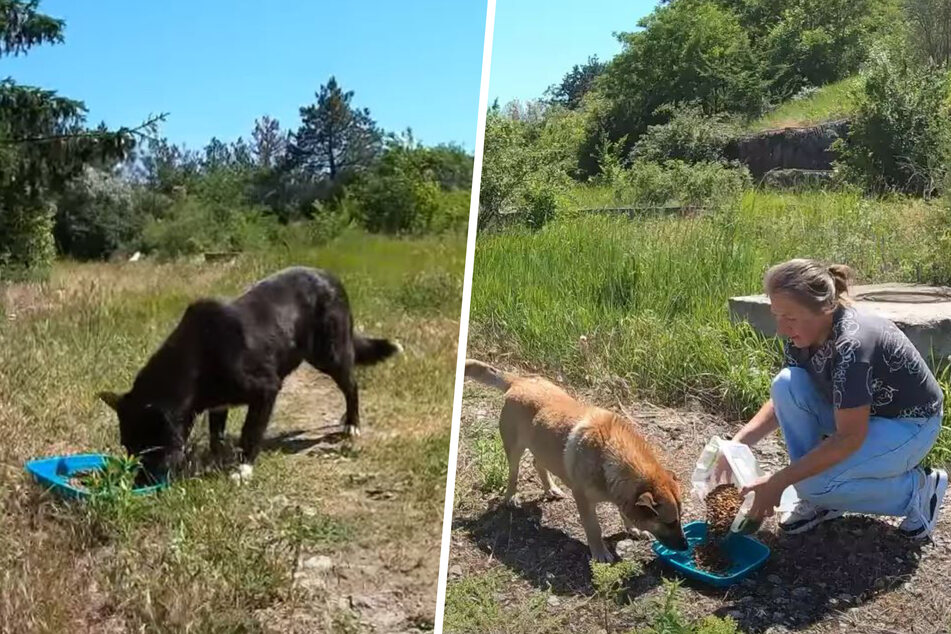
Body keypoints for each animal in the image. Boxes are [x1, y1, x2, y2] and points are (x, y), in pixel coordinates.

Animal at [98, 266, 404, 478]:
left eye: (149, 448)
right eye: (127, 446)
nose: (138, 484)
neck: (196, 360)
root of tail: (332, 276)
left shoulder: (266, 390)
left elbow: (251, 431)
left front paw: (242, 470)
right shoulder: (218, 404)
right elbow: (216, 435)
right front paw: (216, 459)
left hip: (330, 354)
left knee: (351, 385)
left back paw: (352, 424)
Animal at [466, 358, 684, 560]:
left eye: (679, 519)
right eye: (670, 522)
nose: (686, 547)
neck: (611, 455)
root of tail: (519, 381)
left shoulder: (623, 496)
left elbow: (625, 512)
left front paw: (633, 528)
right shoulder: (584, 500)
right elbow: (594, 528)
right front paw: (600, 553)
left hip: (543, 446)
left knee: (538, 464)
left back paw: (551, 488)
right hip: (514, 450)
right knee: (513, 474)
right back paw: (511, 497)